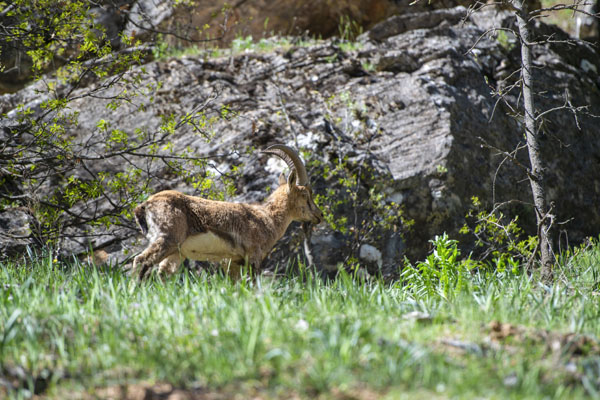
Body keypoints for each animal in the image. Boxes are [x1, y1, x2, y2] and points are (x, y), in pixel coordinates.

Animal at [132, 144, 324, 278]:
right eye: (305, 194)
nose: (319, 215)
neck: (266, 218)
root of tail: (146, 205)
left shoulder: (232, 262)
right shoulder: (253, 256)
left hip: (175, 253)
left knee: (162, 272)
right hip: (167, 239)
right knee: (141, 261)